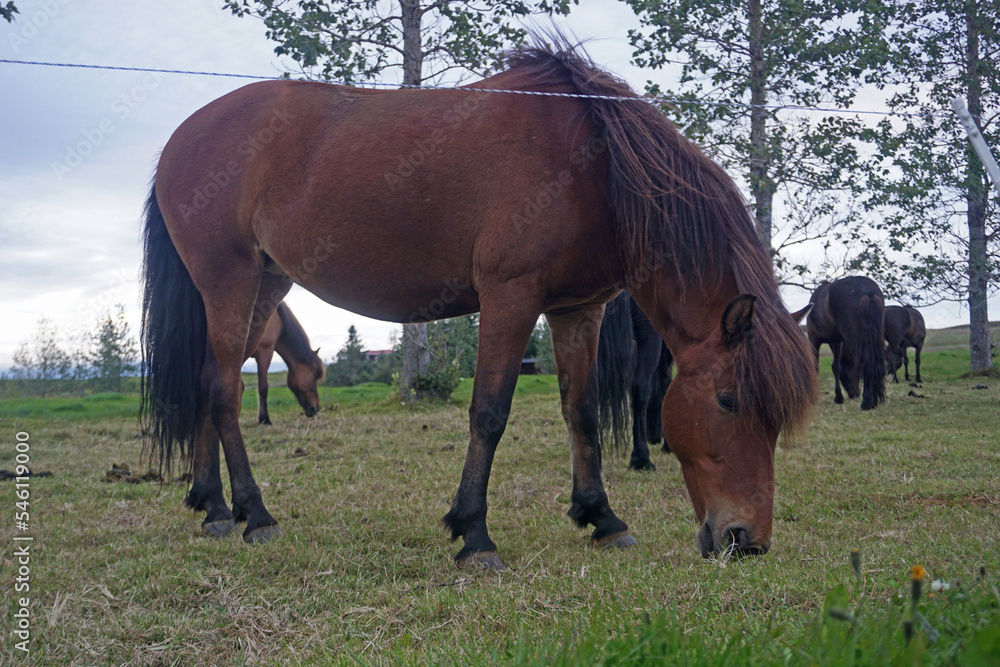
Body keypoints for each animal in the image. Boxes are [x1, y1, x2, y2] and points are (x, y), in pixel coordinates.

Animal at [808, 276, 888, 412]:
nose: (855, 393)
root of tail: (867, 290)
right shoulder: (837, 342)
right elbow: (836, 367)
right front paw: (839, 397)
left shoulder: (814, 339)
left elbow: (815, 365)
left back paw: (867, 402)